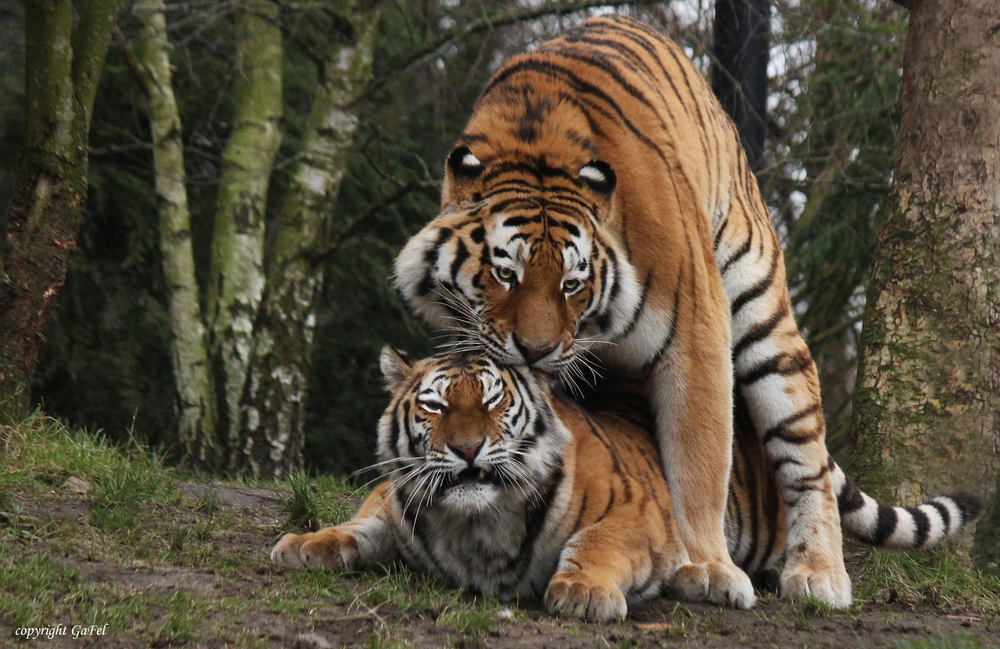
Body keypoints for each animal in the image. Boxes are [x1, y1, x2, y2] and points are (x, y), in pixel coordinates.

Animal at [274, 352, 984, 620]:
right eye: (435, 406)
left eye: (495, 402)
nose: (468, 448)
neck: (474, 521)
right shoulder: (396, 502)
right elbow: (359, 522)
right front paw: (305, 544)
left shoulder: (637, 511)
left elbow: (593, 544)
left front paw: (584, 593)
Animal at [398, 15, 876, 608]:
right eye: (506, 274)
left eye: (572, 284)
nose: (536, 349)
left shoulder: (697, 332)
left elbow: (698, 460)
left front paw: (707, 567)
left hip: (760, 310)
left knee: (804, 448)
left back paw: (818, 573)